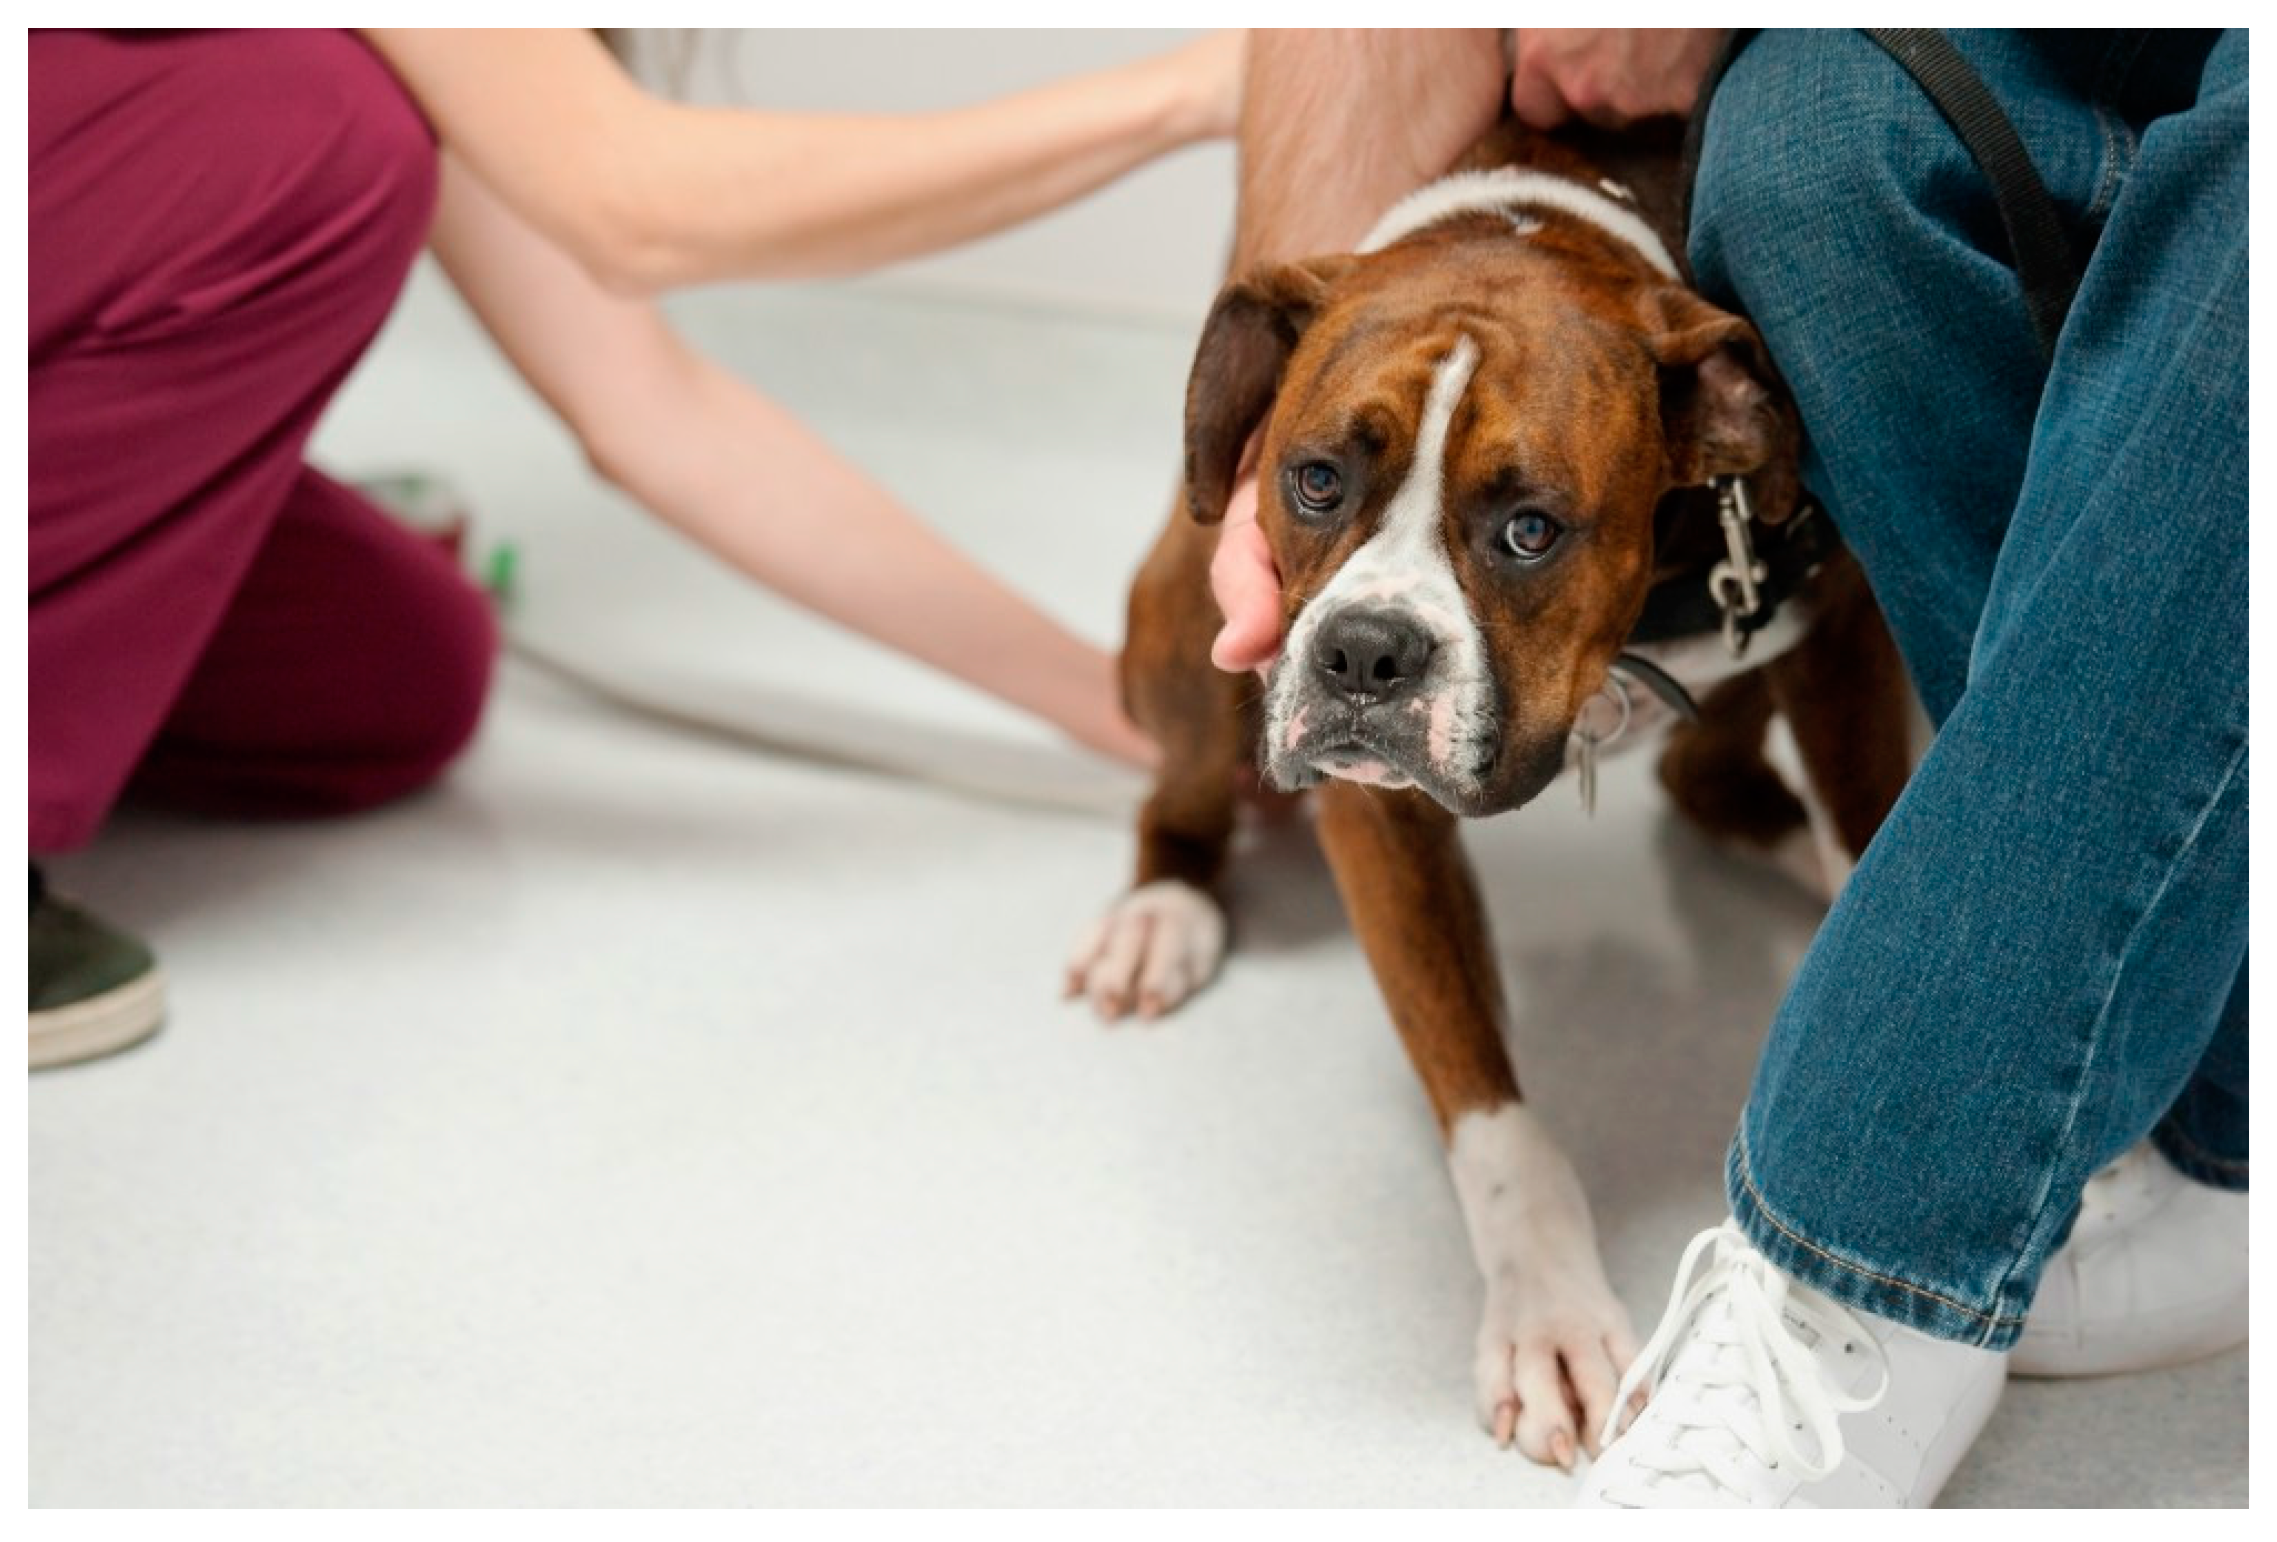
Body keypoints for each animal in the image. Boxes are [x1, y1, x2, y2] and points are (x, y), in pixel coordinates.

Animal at [1056, 120, 1912, 1466]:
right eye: (1313, 479)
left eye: (1530, 530)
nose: (1364, 652)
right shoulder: (1376, 805)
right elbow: (1491, 1113)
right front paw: (1549, 1317)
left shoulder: (1840, 642)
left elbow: (1877, 827)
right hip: (1189, 605)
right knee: (1176, 794)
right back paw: (1163, 910)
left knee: (1706, 774)